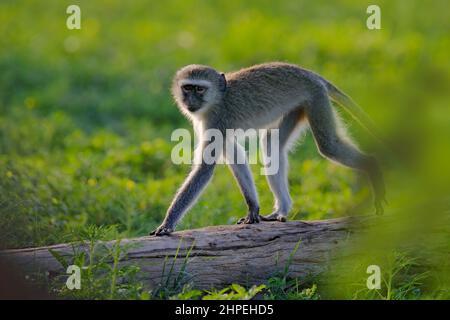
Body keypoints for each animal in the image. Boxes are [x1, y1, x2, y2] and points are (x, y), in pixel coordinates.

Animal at [150, 62, 384, 236]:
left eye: (199, 89)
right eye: (187, 88)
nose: (190, 101)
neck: (218, 98)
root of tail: (311, 74)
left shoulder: (217, 120)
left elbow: (205, 168)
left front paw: (167, 224)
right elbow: (235, 154)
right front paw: (253, 209)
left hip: (316, 97)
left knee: (328, 145)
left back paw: (372, 166)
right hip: (300, 105)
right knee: (272, 143)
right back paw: (281, 209)